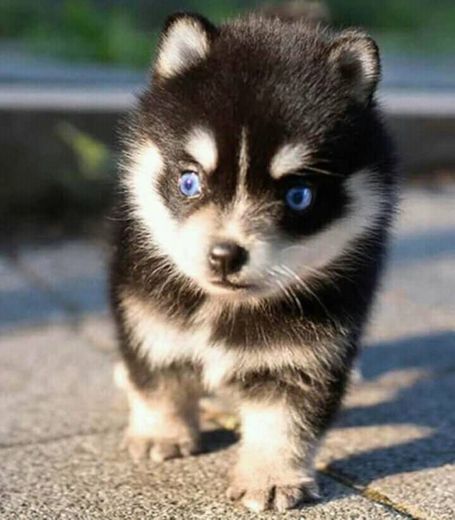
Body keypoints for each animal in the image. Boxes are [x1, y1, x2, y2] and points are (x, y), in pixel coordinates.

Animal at [110, 12, 400, 512]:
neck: (227, 307)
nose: (225, 254)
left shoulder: (307, 352)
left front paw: (269, 476)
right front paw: (160, 433)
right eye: (189, 182)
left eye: (299, 195)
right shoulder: (146, 316)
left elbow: (285, 420)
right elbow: (158, 377)